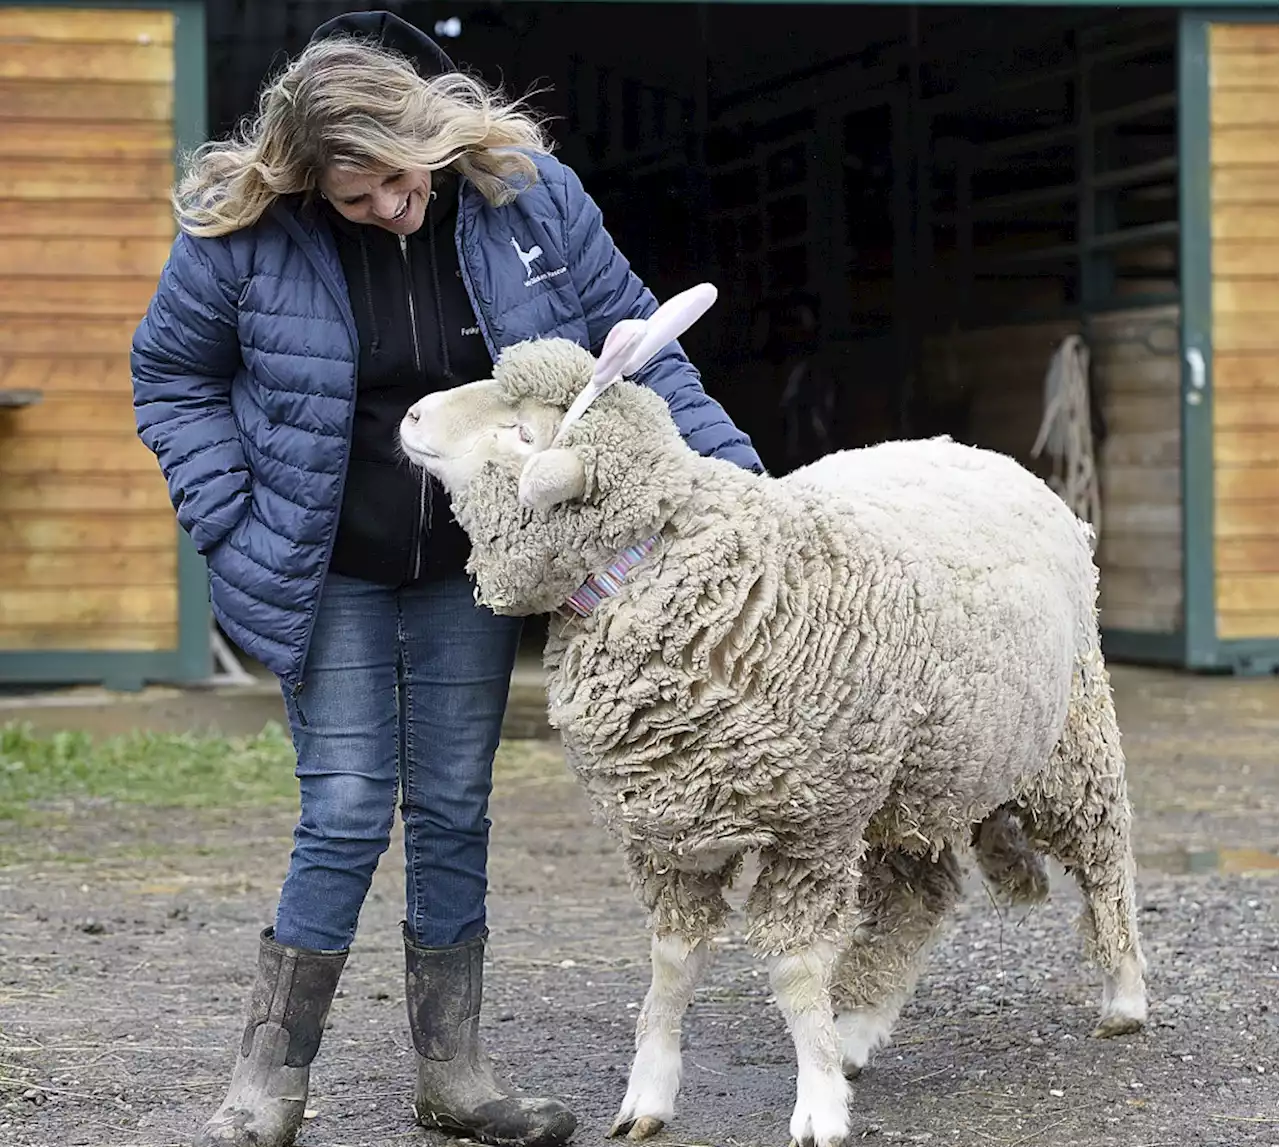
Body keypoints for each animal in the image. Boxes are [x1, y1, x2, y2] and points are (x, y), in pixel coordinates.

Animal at [399, 284, 1152, 1147]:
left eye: (521, 432)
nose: (410, 413)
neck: (665, 566)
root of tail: (985, 453)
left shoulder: (808, 827)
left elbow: (794, 969)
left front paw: (817, 1102)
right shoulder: (671, 829)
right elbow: (671, 967)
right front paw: (650, 1093)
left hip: (1068, 737)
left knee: (1104, 857)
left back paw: (1124, 995)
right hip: (912, 778)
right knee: (922, 893)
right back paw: (856, 1028)